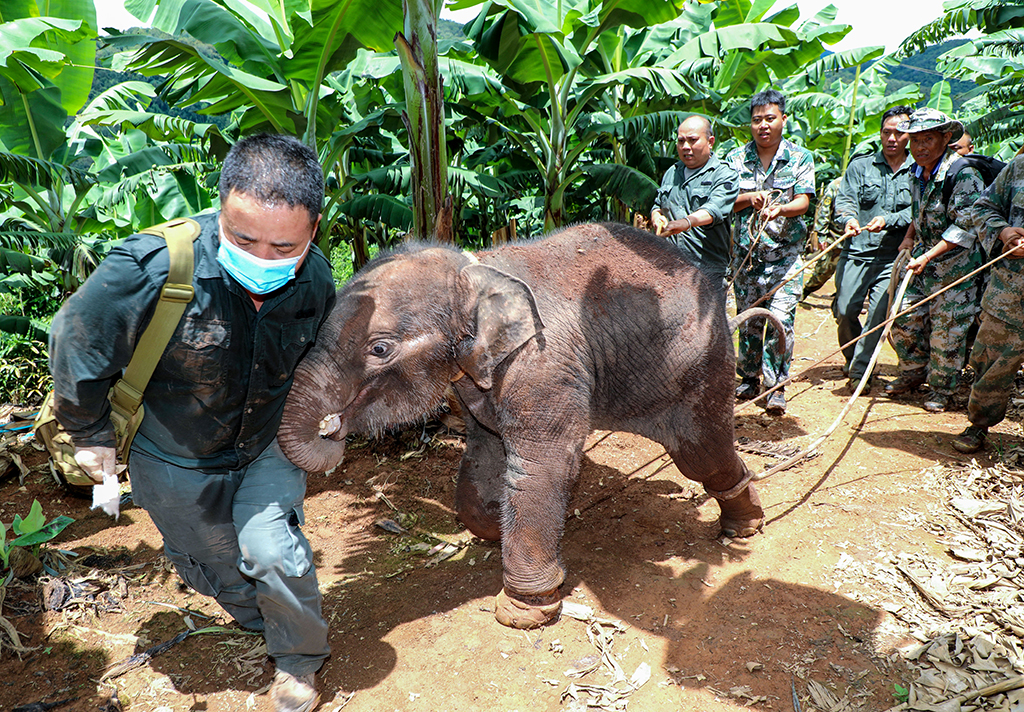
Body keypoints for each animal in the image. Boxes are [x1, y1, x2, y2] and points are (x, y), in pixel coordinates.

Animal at [280, 221, 770, 631]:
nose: (330, 429)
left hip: (699, 359)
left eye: (379, 349)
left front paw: (523, 610)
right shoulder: (476, 377)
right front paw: (497, 527)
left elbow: (541, 464)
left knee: (699, 454)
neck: (476, 270)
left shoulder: (542, 363)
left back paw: (743, 527)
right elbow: (485, 452)